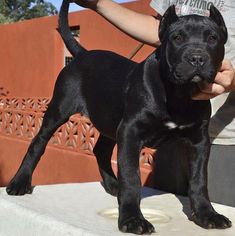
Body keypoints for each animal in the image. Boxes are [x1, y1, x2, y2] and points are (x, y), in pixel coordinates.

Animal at [5, 0, 231, 234]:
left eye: (212, 38)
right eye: (177, 38)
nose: (197, 58)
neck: (180, 94)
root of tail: (82, 54)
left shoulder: (199, 141)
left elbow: (199, 180)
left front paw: (206, 214)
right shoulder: (131, 132)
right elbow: (131, 178)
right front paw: (132, 219)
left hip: (110, 122)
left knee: (101, 150)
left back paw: (113, 184)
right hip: (59, 110)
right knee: (38, 142)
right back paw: (20, 182)